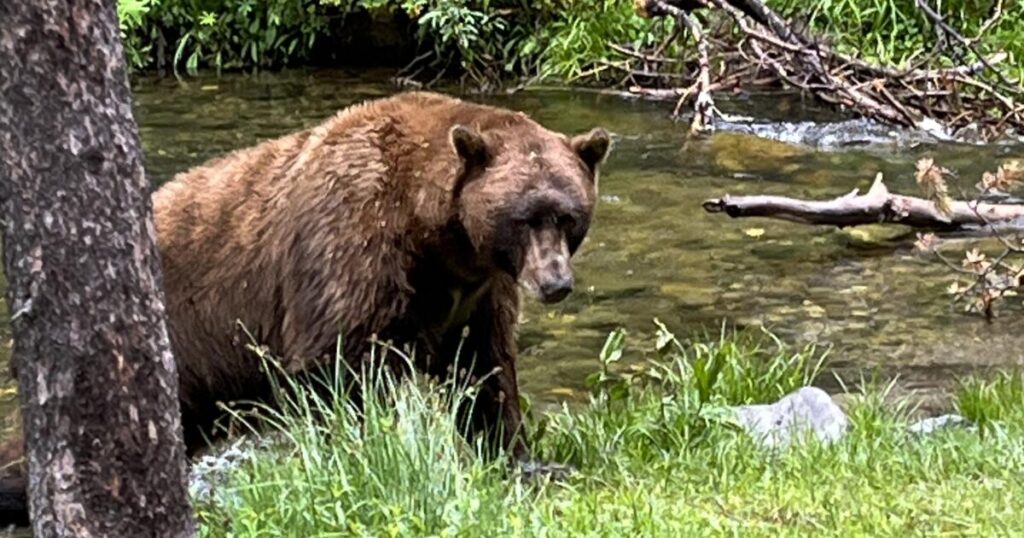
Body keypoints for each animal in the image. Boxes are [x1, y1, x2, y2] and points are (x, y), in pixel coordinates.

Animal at [0, 91, 611, 523]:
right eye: (525, 216)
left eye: (569, 215)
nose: (555, 282)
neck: (437, 237)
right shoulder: (350, 248)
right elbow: (335, 365)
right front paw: (366, 454)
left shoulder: (479, 293)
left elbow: (485, 371)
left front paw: (521, 459)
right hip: (171, 335)